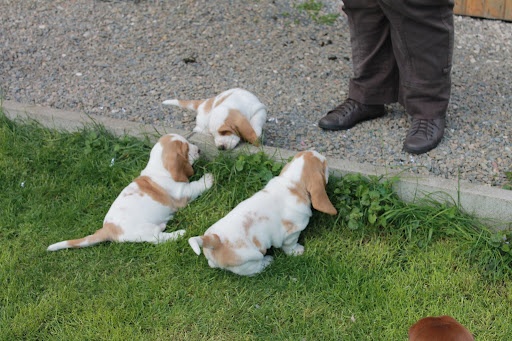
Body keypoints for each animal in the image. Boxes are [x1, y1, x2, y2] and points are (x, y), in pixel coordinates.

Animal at [48, 133, 214, 250]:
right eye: (186, 149)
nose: (199, 150)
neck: (158, 168)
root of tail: (107, 229)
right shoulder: (183, 192)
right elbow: (195, 186)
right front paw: (208, 179)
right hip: (145, 231)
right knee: (157, 239)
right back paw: (178, 233)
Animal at [188, 151, 336, 276]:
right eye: (324, 164)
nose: (325, 157)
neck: (291, 182)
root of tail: (214, 240)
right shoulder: (291, 234)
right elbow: (290, 245)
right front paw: (297, 251)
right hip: (251, 261)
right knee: (255, 269)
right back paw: (268, 261)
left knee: (211, 264)